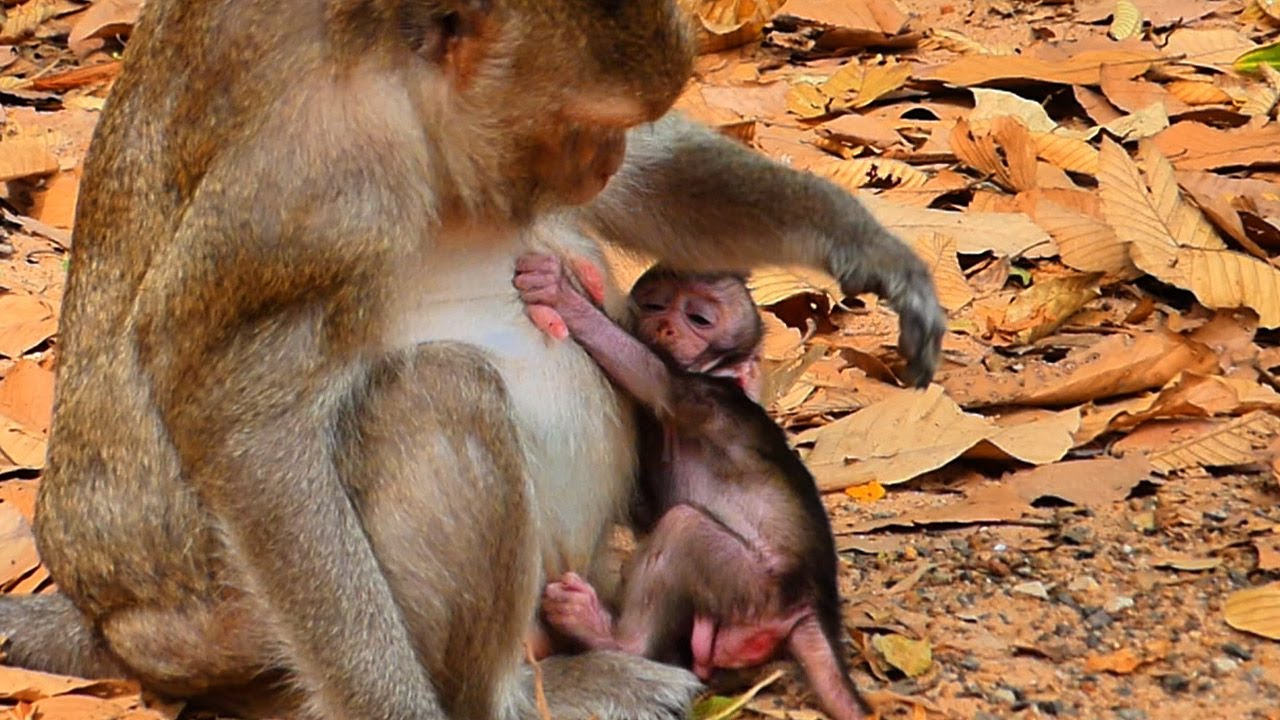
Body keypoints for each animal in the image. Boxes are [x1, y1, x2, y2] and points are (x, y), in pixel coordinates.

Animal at [515, 256, 872, 720]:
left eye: (699, 318)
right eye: (654, 305)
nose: (665, 327)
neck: (717, 373)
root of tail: (814, 602)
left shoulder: (705, 397)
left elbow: (648, 374)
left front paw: (561, 293)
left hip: (754, 584)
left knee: (683, 527)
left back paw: (608, 636)